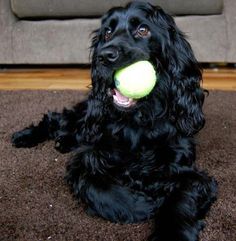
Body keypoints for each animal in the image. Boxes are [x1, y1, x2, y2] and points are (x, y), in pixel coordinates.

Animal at [12, 2, 217, 241]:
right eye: (107, 32)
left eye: (143, 30)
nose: (103, 56)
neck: (138, 118)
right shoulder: (91, 156)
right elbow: (96, 185)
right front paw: (142, 205)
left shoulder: (184, 170)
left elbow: (181, 200)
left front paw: (170, 232)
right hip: (89, 116)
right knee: (58, 119)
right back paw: (25, 136)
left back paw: (62, 142)